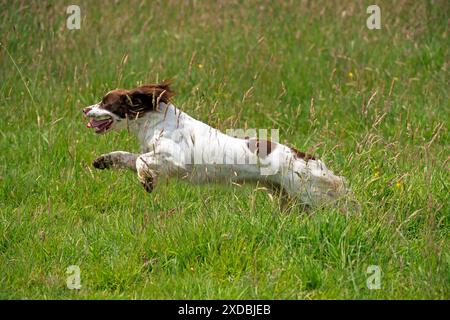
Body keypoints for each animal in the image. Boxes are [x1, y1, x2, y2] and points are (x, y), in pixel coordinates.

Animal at [82, 82, 346, 208]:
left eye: (105, 102)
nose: (84, 109)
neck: (156, 119)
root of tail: (305, 157)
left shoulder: (175, 159)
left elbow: (140, 159)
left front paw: (146, 181)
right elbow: (127, 156)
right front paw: (104, 160)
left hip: (309, 194)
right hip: (289, 198)